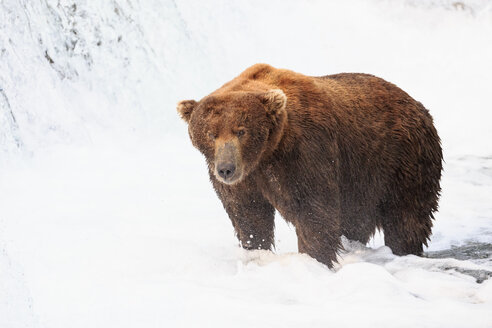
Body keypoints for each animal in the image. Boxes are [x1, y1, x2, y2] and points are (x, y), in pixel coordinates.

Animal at [176, 62, 442, 268]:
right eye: (211, 134)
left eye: (241, 131)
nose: (226, 169)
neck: (266, 153)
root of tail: (418, 105)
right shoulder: (245, 177)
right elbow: (247, 212)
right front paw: (256, 250)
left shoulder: (305, 152)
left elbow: (313, 209)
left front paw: (315, 259)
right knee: (357, 220)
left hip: (400, 159)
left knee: (406, 216)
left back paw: (404, 248)